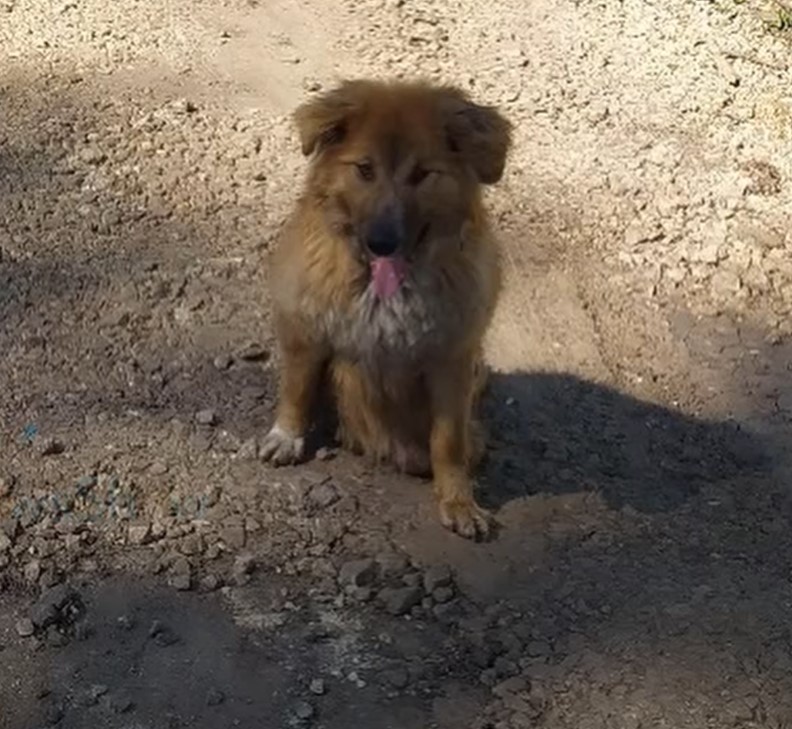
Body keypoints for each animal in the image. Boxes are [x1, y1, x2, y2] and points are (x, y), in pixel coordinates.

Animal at [260, 78, 512, 540]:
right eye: (364, 169)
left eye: (422, 174)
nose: (382, 242)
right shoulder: (307, 327)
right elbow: (297, 389)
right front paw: (286, 436)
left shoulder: (453, 359)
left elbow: (448, 441)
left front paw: (459, 501)